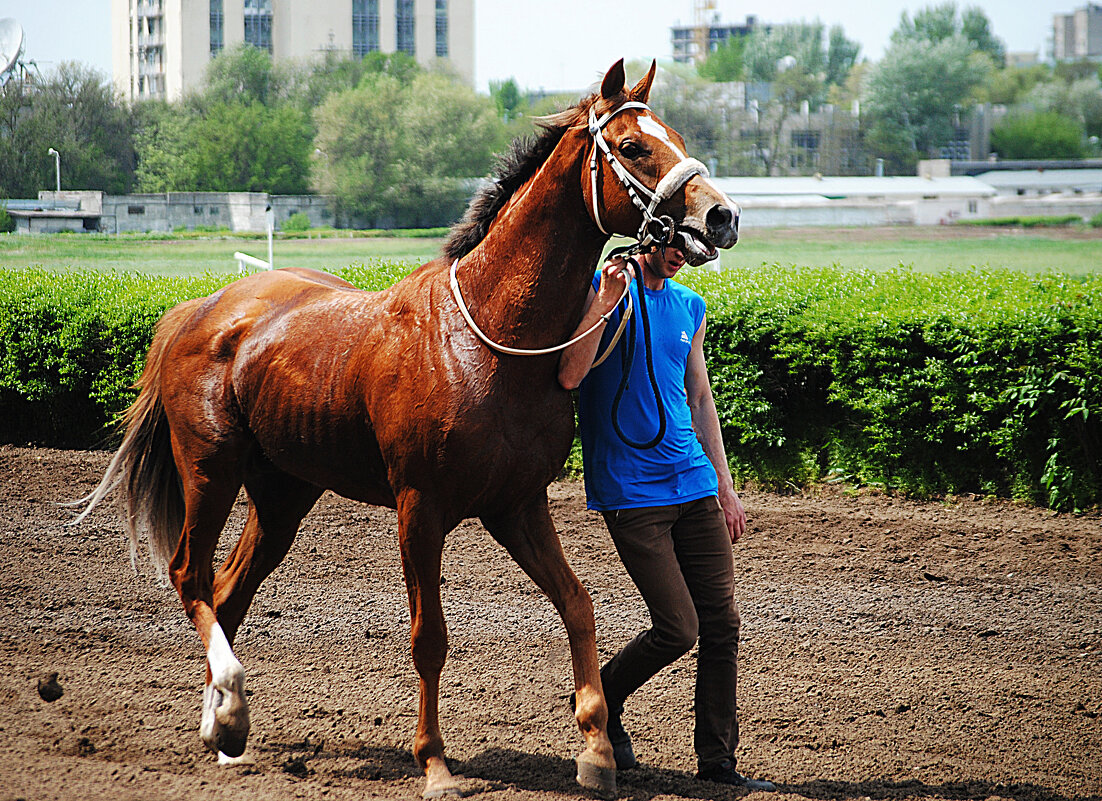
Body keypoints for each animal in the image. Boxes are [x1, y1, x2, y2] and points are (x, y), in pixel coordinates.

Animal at [77, 59, 740, 797]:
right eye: (632, 146)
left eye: (675, 136)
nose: (721, 215)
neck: (489, 338)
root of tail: (200, 308)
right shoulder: (419, 509)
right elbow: (430, 636)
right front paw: (435, 763)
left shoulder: (516, 504)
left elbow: (577, 603)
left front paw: (596, 748)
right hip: (209, 469)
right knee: (190, 576)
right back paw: (227, 704)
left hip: (282, 495)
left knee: (227, 593)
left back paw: (224, 726)